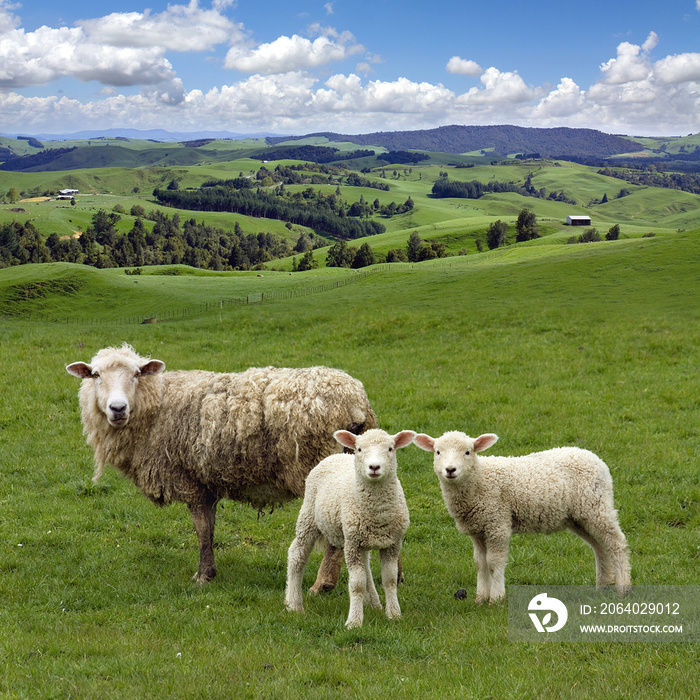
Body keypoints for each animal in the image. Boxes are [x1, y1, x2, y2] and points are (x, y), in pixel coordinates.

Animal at [66, 344, 380, 584]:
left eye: (136, 374)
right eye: (95, 375)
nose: (117, 409)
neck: (156, 405)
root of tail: (355, 402)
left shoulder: (189, 480)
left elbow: (201, 529)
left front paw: (203, 576)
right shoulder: (207, 482)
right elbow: (210, 527)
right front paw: (210, 570)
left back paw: (323, 584)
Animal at [284, 426, 416, 628]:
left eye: (390, 449)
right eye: (360, 449)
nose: (374, 467)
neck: (377, 513)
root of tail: (337, 455)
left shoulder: (392, 543)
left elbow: (390, 580)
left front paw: (393, 614)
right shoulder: (353, 543)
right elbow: (357, 584)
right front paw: (354, 621)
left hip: (359, 536)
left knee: (366, 567)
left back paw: (374, 603)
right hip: (309, 516)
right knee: (297, 554)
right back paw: (293, 604)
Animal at [412, 432, 632, 600]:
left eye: (468, 452)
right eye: (438, 452)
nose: (450, 469)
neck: (479, 480)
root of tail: (595, 458)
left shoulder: (497, 523)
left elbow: (494, 562)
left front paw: (497, 597)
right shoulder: (478, 528)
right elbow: (480, 564)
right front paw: (481, 598)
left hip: (597, 506)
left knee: (616, 543)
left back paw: (623, 587)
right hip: (579, 516)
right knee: (600, 546)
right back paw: (603, 585)